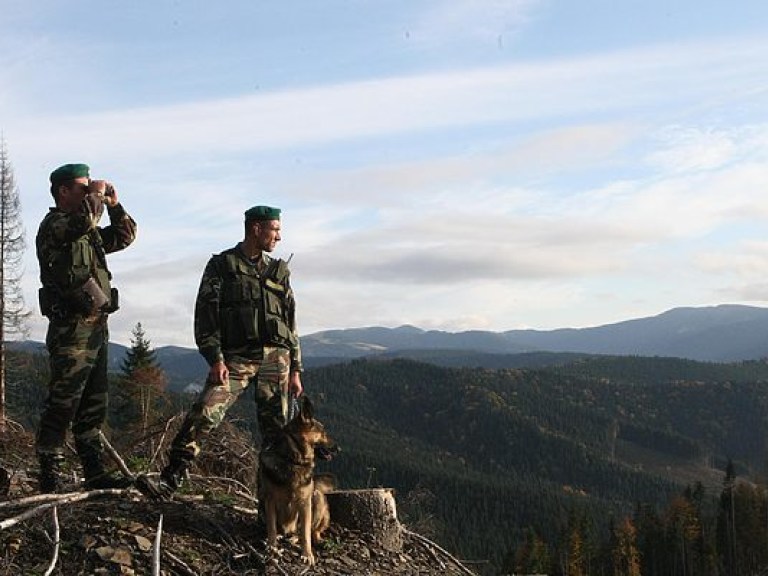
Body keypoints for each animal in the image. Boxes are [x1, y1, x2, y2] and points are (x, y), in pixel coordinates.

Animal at [258, 396, 340, 568]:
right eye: (323, 432)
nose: (339, 449)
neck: (293, 459)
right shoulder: (270, 500)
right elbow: (271, 527)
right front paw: (272, 547)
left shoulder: (305, 503)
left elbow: (306, 533)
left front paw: (307, 554)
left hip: (317, 498)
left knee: (312, 530)